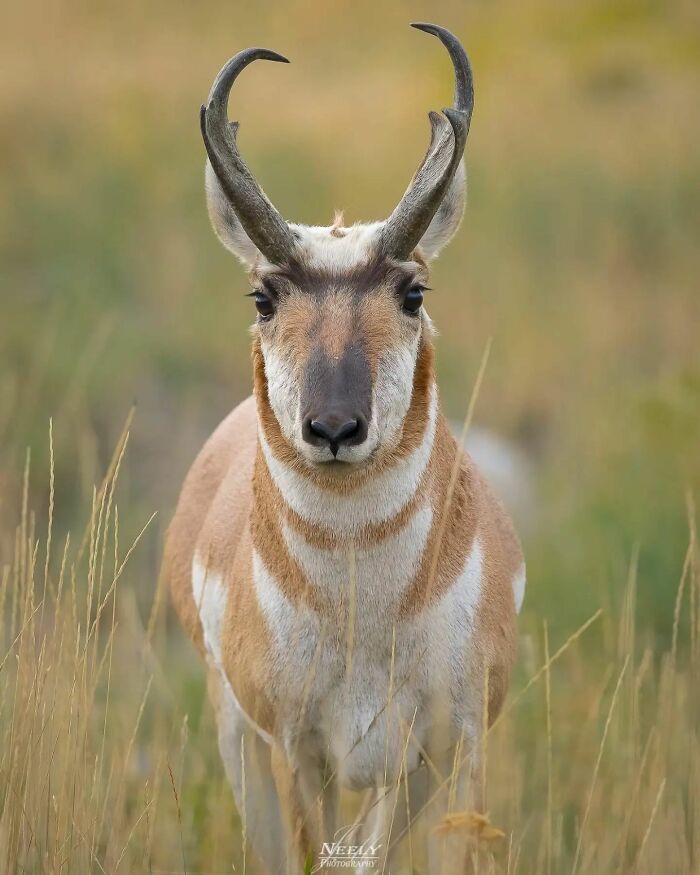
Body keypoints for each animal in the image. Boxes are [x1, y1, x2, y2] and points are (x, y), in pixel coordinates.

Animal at [163, 22, 525, 873]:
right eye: (263, 295)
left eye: (413, 291)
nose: (332, 428)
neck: (364, 608)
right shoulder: (299, 753)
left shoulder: (446, 749)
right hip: (240, 741)